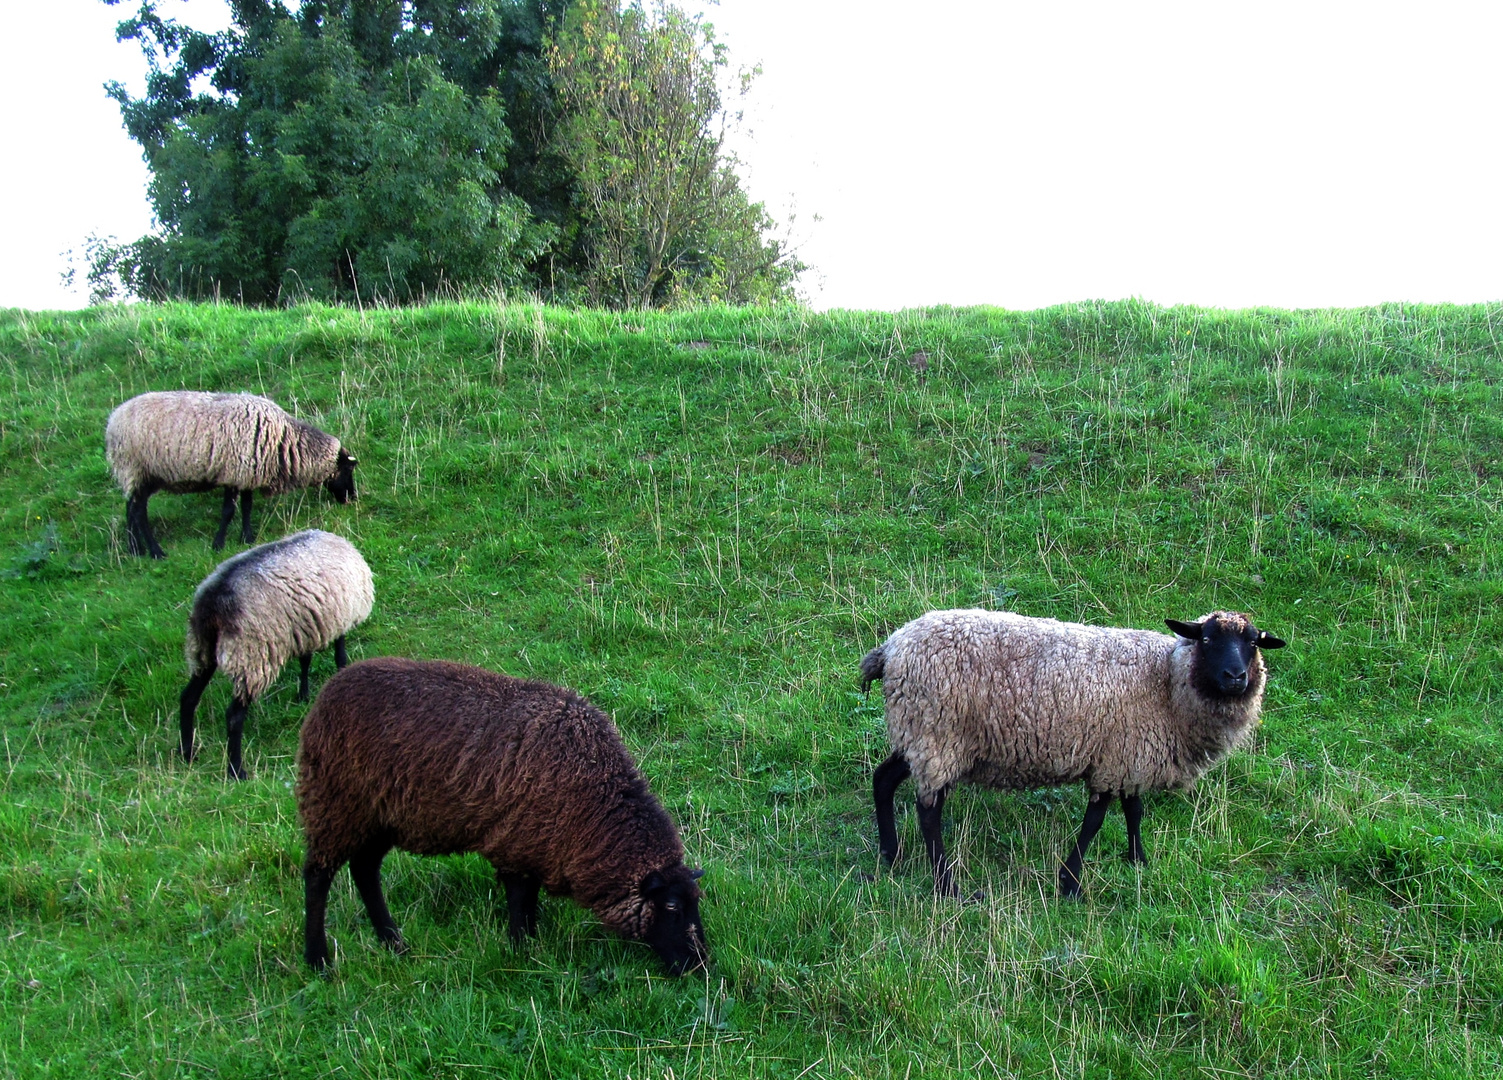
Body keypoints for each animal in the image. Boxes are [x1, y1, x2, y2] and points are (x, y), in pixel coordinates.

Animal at [103, 390, 357, 558]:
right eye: (347, 469)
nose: (352, 498)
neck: (283, 442)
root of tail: (113, 420)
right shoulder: (234, 473)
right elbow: (228, 511)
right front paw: (218, 544)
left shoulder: (247, 475)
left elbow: (246, 507)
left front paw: (247, 538)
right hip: (136, 468)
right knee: (138, 512)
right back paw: (155, 551)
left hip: (143, 475)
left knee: (131, 508)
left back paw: (135, 549)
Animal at [178, 528, 372, 775]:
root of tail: (215, 598)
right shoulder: (340, 616)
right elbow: (340, 654)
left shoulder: (306, 627)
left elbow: (305, 660)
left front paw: (303, 695)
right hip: (251, 657)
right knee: (234, 716)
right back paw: (236, 770)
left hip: (202, 648)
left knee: (188, 698)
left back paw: (187, 753)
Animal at [299, 657, 709, 979]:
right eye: (671, 907)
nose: (701, 965)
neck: (593, 805)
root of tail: (326, 693)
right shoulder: (515, 845)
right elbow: (518, 903)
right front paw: (520, 953)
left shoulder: (536, 843)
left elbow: (529, 902)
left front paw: (530, 946)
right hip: (334, 802)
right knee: (318, 876)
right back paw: (319, 961)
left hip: (379, 816)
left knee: (364, 870)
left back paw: (393, 941)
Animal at [865, 612, 1286, 901]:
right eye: (1208, 639)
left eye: (1253, 643)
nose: (1236, 677)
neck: (1166, 682)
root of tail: (892, 646)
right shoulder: (1114, 761)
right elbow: (1095, 821)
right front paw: (1071, 882)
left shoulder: (1130, 757)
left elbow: (1134, 811)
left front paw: (1138, 860)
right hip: (938, 735)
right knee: (928, 810)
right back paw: (948, 885)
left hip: (917, 732)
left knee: (883, 778)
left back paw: (890, 853)